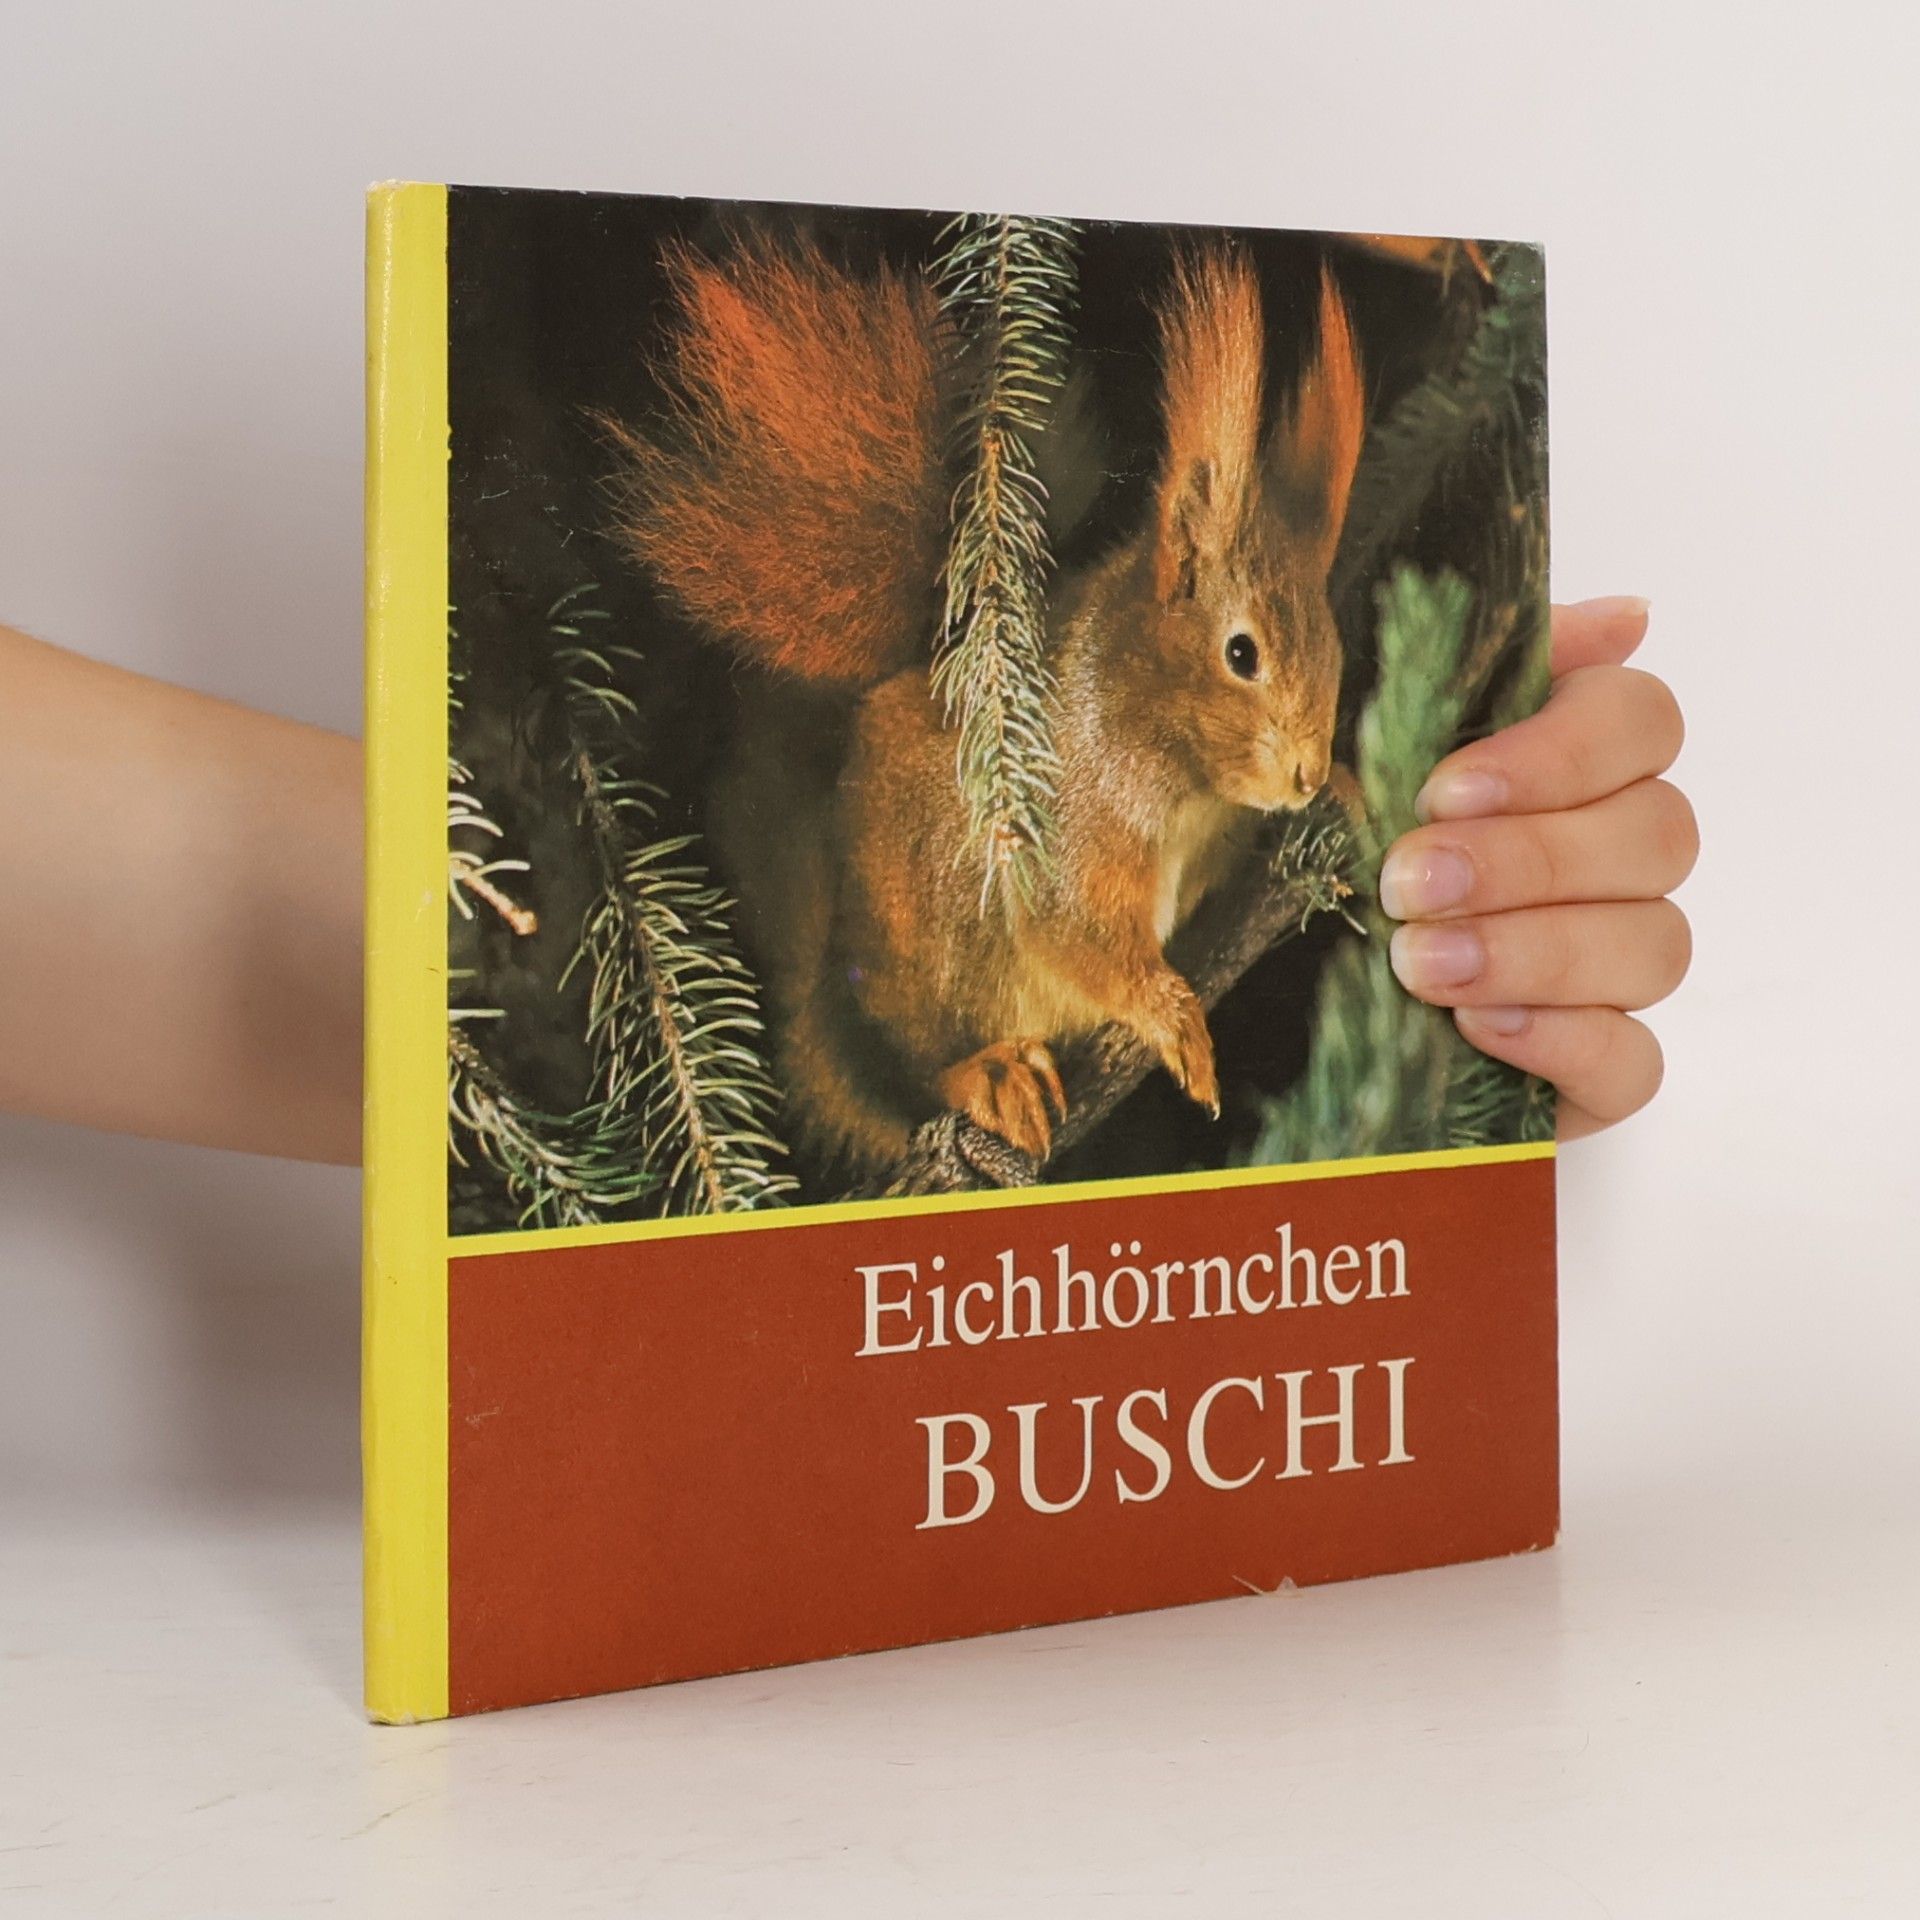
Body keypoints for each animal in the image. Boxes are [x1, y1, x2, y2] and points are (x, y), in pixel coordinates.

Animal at [608, 230, 1366, 1180]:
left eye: (1336, 648)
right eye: (1242, 654)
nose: (1303, 771)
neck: (1180, 775)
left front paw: (1348, 788)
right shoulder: (1064, 832)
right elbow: (1078, 939)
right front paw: (1174, 1018)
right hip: (927, 951)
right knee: (909, 1078)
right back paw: (988, 1076)